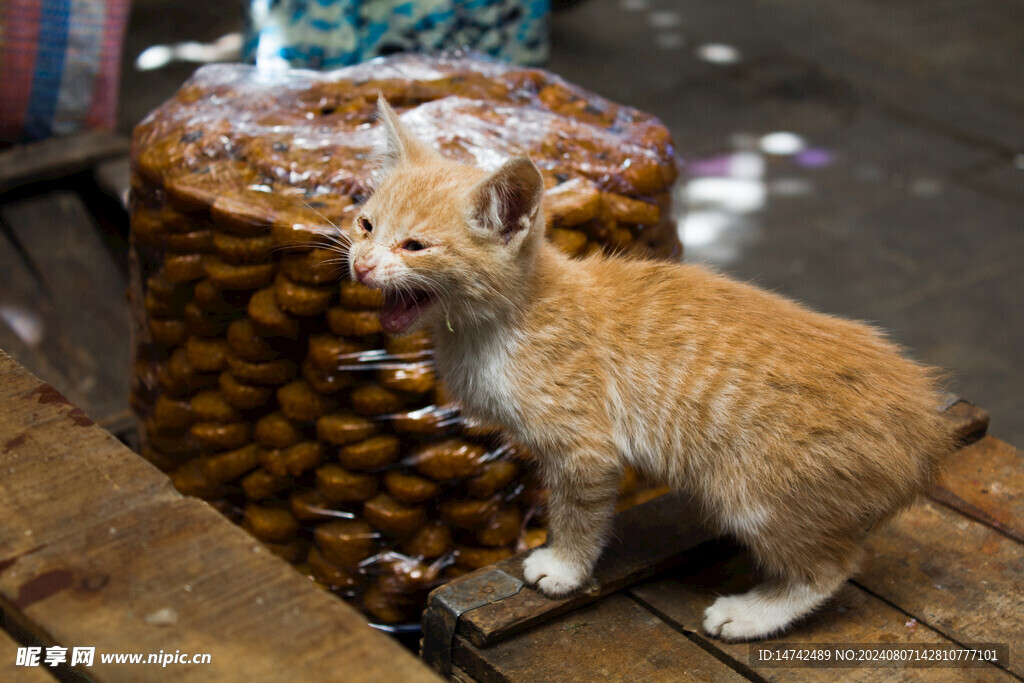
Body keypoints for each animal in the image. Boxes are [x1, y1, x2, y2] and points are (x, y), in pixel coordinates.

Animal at [344, 98, 950, 643]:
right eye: (365, 224)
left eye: (415, 245)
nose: (362, 264)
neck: (505, 320)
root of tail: (927, 434)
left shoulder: (586, 449)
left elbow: (579, 513)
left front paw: (563, 568)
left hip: (758, 493)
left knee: (829, 569)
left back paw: (752, 614)